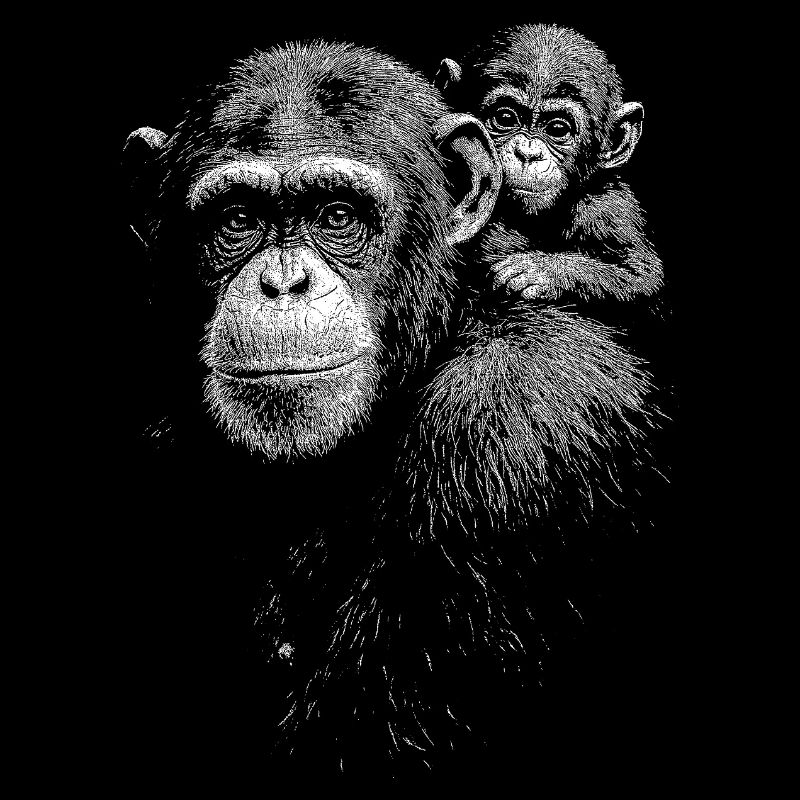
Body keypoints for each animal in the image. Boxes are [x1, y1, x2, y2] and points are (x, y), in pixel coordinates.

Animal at [437, 24, 663, 312]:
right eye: (505, 118)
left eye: (557, 129)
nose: (528, 153)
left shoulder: (609, 209)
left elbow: (640, 274)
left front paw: (540, 270)